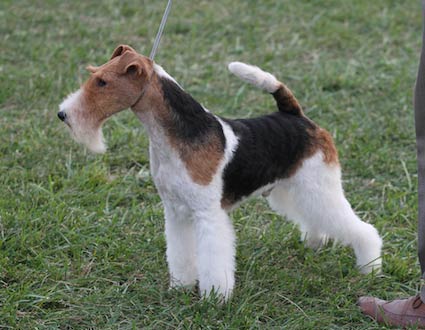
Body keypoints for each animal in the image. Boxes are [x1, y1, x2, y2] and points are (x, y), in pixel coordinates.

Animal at [58, 45, 380, 300]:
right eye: (95, 75)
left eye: (102, 82)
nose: (63, 114)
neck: (173, 137)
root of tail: (297, 116)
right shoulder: (175, 211)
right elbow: (180, 254)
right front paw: (180, 286)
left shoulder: (207, 214)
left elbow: (213, 260)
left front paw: (214, 298)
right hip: (292, 189)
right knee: (316, 218)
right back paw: (316, 242)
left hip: (318, 185)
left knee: (362, 229)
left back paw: (370, 267)